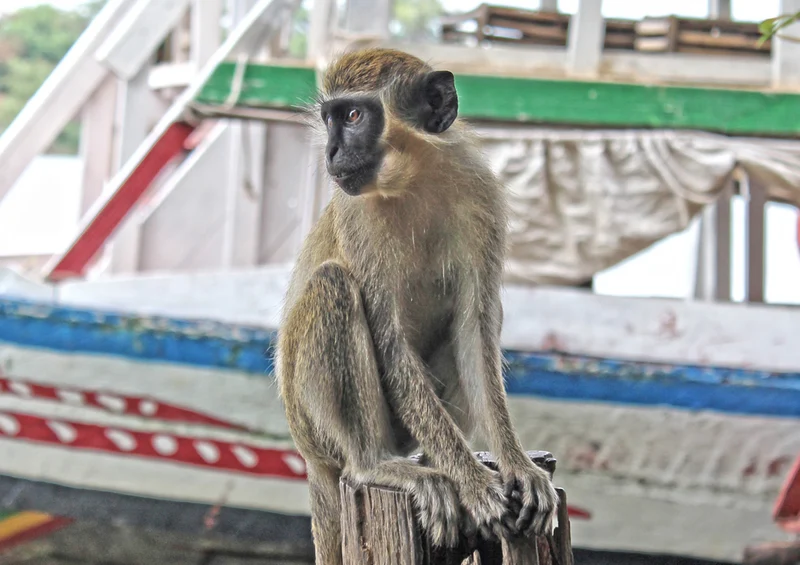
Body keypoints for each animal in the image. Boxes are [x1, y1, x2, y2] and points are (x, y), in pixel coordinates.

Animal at [275, 48, 558, 564]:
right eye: (330, 119)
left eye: (353, 116)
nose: (331, 153)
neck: (412, 179)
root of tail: (309, 459)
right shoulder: (356, 215)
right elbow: (390, 344)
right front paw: (473, 483)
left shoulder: (480, 192)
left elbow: (474, 326)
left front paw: (516, 466)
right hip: (312, 422)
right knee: (333, 284)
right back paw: (378, 465)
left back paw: (440, 460)